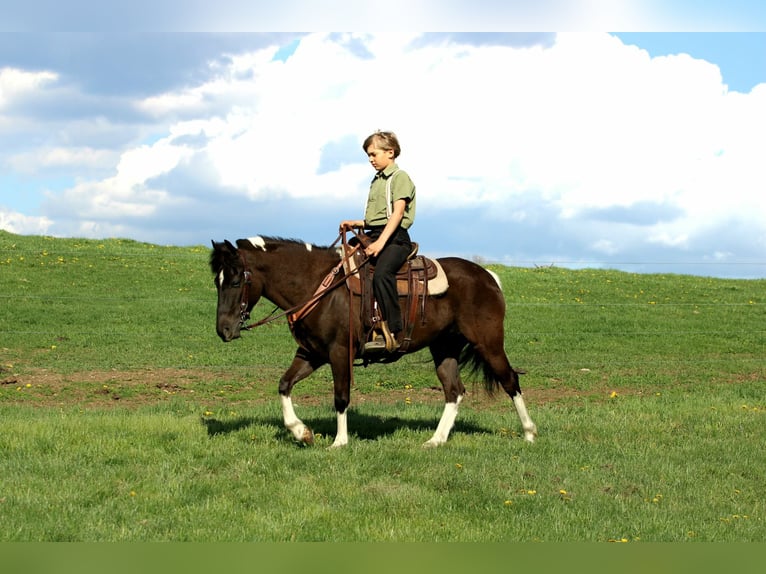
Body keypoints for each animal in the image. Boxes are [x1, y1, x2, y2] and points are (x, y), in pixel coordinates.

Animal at [210, 235, 537, 448]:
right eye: (217, 281)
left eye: (236, 280)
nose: (223, 330)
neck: (320, 287)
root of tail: (488, 277)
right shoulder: (311, 353)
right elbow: (284, 385)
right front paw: (301, 432)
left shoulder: (339, 352)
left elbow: (341, 397)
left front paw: (340, 442)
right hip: (444, 348)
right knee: (454, 390)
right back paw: (436, 440)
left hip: (488, 343)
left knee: (510, 381)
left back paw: (529, 433)